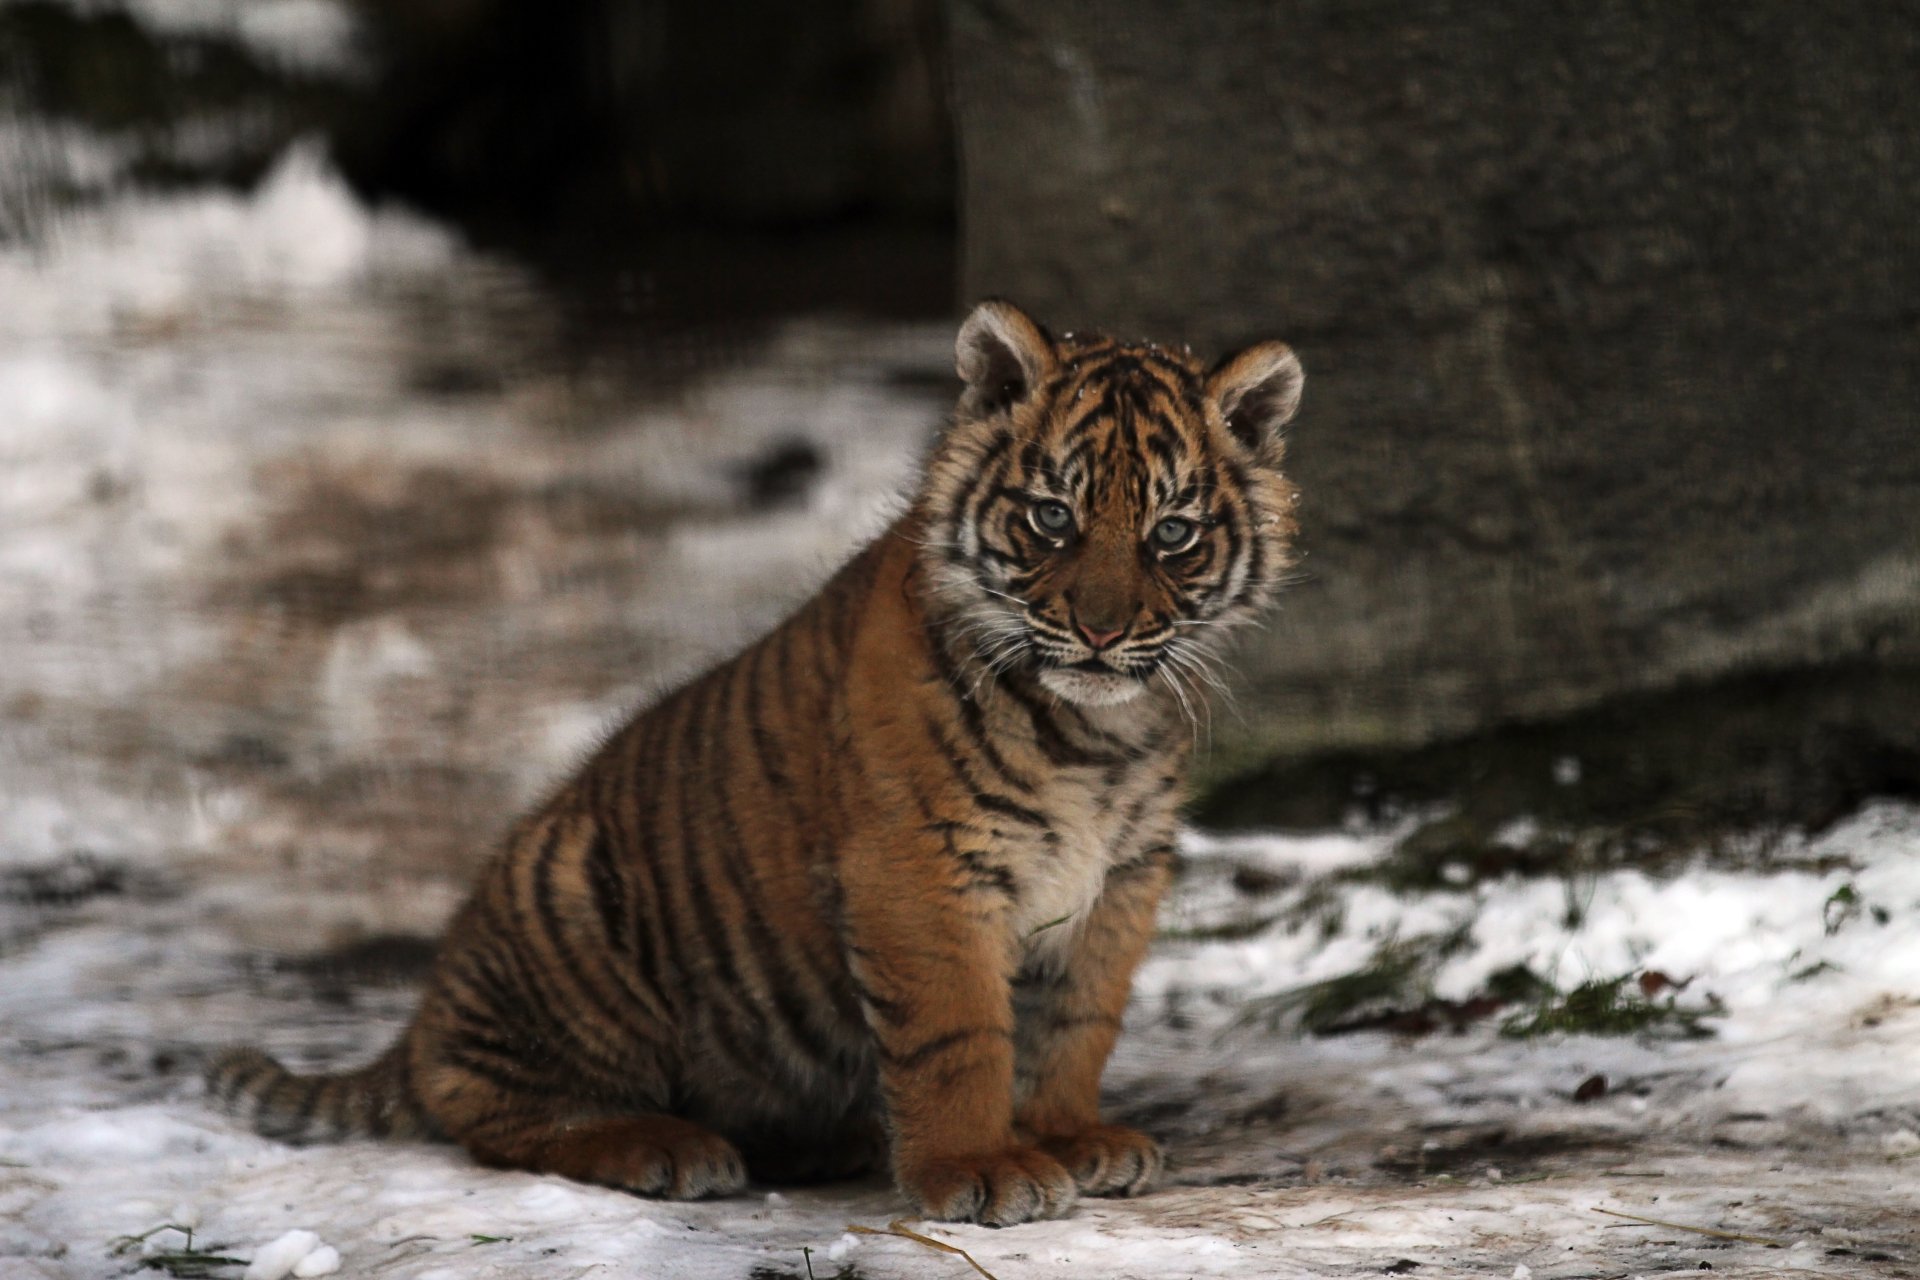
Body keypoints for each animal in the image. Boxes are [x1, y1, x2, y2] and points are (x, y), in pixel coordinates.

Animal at [206, 300, 1304, 1226]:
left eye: (1171, 532)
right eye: (1052, 517)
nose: (1101, 631)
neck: (1095, 737)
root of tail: (425, 1009)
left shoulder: (1122, 876)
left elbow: (1080, 1022)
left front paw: (1072, 1136)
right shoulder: (920, 874)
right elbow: (958, 1037)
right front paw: (979, 1166)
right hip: (571, 902)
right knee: (491, 1107)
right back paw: (663, 1145)